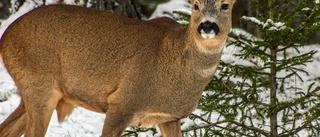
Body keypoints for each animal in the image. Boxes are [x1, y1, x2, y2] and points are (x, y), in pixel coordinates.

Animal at [0, 0, 235, 136]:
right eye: (195, 5)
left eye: (225, 5)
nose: (207, 25)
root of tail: (6, 36)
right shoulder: (122, 102)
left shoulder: (170, 118)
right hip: (38, 84)